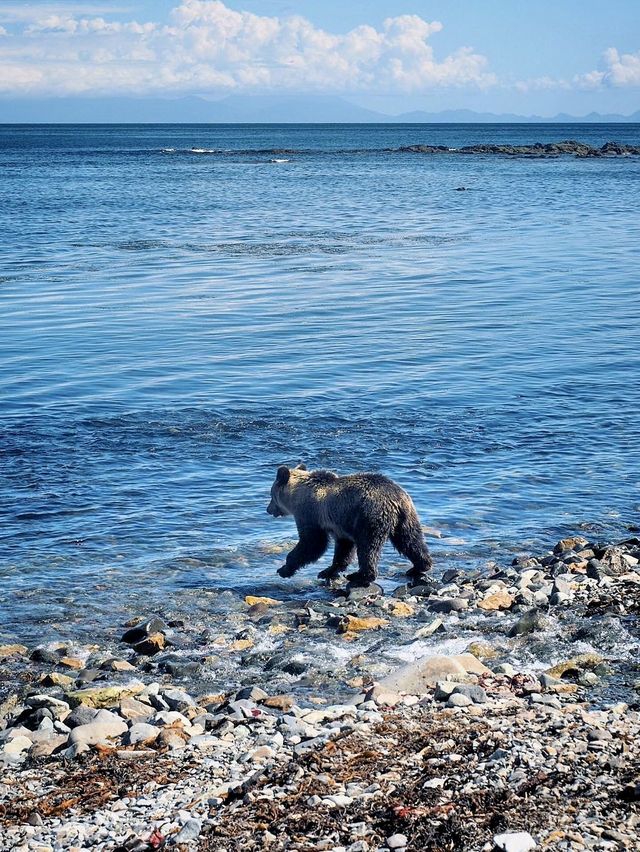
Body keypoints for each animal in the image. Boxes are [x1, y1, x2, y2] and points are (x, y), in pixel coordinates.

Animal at [268, 466, 432, 584]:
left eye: (271, 495)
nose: (268, 509)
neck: (297, 494)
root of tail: (395, 498)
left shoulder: (310, 515)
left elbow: (312, 543)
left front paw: (284, 569)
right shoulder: (340, 523)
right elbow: (343, 548)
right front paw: (327, 571)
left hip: (369, 517)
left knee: (368, 547)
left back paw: (360, 575)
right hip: (406, 518)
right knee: (411, 541)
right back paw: (420, 566)